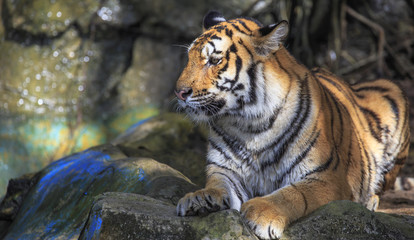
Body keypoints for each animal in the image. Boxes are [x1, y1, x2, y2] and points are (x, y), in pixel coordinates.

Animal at [173, 10, 410, 238]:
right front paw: (200, 199)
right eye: (189, 58)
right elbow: (217, 185)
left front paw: (262, 213)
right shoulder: (224, 169)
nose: (179, 92)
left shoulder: (327, 176)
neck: (248, 124)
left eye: (214, 61)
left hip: (393, 95)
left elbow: (293, 194)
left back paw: (370, 201)